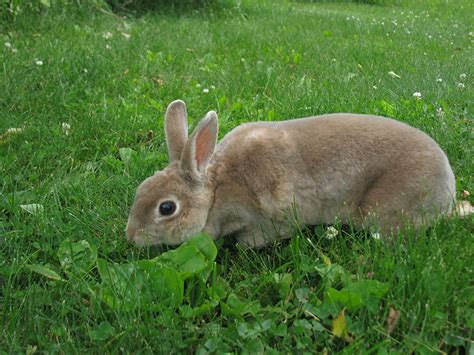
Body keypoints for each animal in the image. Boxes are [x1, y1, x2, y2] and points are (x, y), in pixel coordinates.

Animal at [124, 97, 462, 248]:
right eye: (141, 189)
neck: (217, 191)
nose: (131, 236)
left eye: (166, 208)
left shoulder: (269, 217)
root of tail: (448, 190)